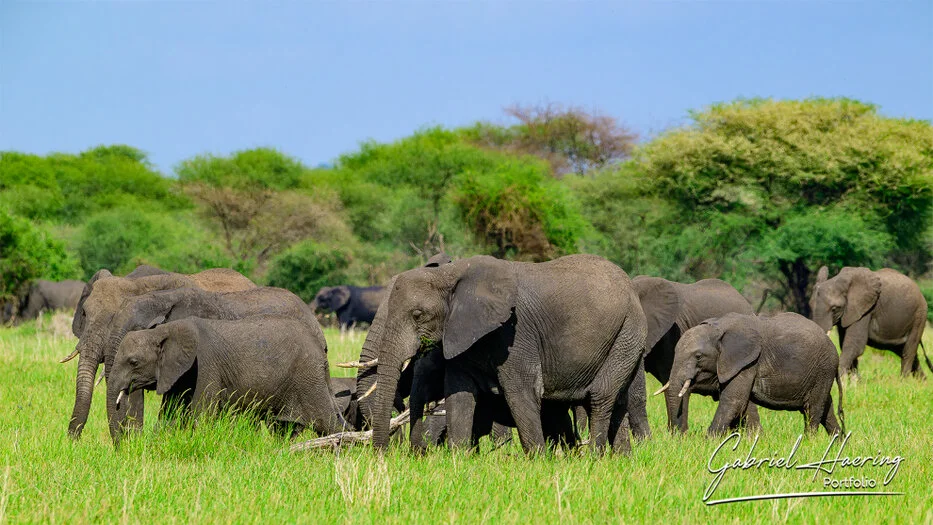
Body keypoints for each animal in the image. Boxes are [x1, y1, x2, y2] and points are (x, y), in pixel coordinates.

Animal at [109, 315, 348, 436]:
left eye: (133, 362)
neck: (163, 330)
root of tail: (321, 347)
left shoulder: (205, 366)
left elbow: (202, 415)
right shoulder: (179, 373)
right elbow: (171, 414)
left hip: (307, 375)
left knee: (326, 421)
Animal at [369, 254, 648, 454]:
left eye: (417, 315)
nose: (384, 456)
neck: (450, 274)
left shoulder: (516, 333)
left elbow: (521, 391)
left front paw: (537, 461)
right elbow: (459, 393)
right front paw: (458, 460)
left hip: (628, 330)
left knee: (599, 396)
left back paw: (593, 457)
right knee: (618, 399)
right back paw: (620, 459)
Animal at [662, 312, 844, 436]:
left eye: (698, 356)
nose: (681, 437)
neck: (719, 328)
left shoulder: (747, 361)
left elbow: (733, 400)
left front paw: (709, 441)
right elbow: (743, 402)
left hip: (823, 369)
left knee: (813, 408)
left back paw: (808, 440)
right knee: (826, 407)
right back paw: (839, 442)